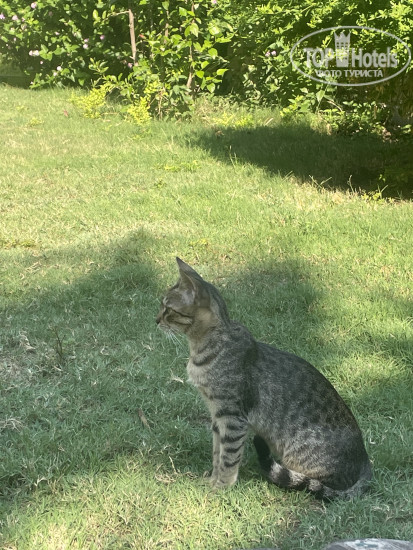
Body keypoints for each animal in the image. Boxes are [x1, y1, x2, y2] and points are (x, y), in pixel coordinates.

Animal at [156, 257, 372, 500]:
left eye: (168, 309)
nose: (156, 320)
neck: (203, 348)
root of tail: (366, 463)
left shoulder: (232, 417)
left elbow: (228, 457)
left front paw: (222, 487)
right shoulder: (217, 415)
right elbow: (217, 453)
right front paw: (212, 479)